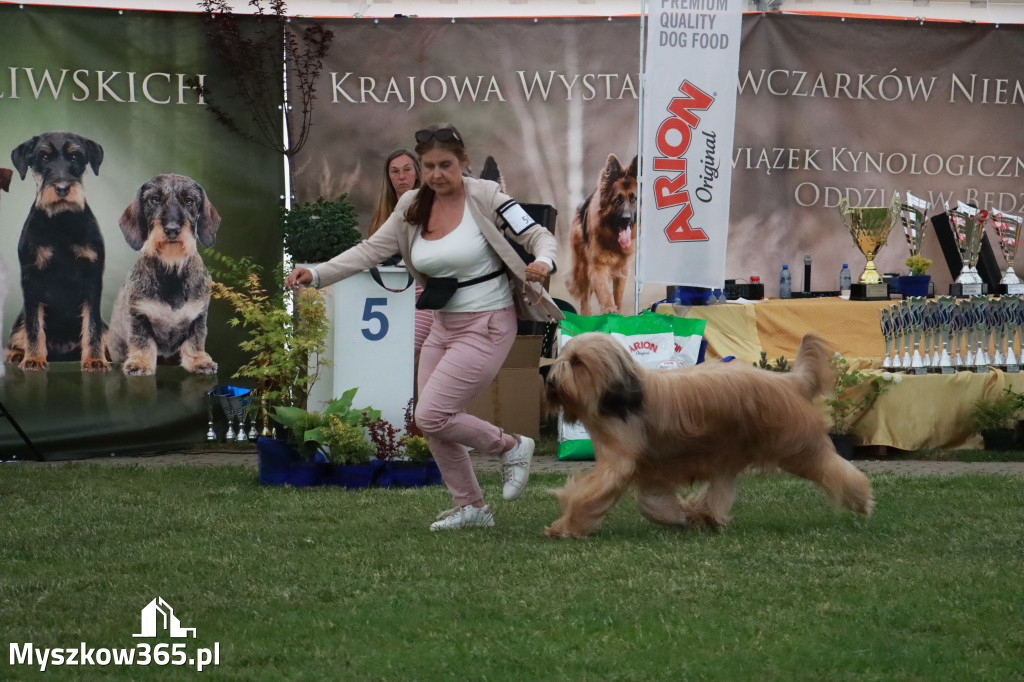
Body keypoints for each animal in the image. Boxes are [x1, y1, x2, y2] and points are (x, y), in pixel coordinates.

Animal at [544, 329, 872, 536]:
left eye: (577, 362)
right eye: (563, 357)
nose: (550, 381)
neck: (622, 395)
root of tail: (785, 381)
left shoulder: (619, 462)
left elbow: (590, 494)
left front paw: (565, 527)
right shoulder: (653, 468)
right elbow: (652, 503)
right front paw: (680, 516)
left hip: (796, 444)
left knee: (831, 466)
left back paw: (861, 499)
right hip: (727, 451)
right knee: (720, 487)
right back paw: (704, 515)